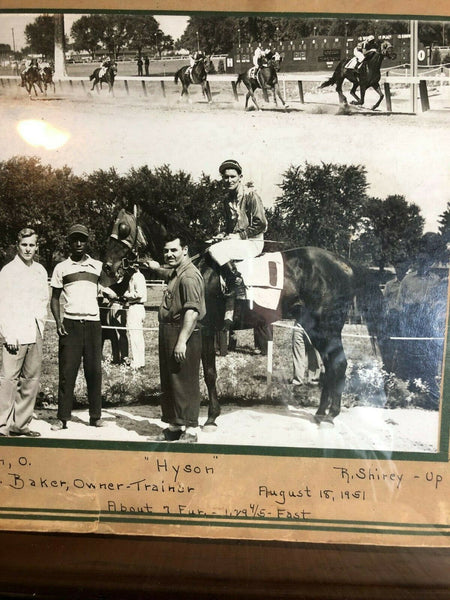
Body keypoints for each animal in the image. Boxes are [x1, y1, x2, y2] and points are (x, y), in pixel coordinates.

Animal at [103, 209, 386, 428]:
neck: (198, 267)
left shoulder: (206, 329)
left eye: (124, 228)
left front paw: (211, 418)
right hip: (315, 327)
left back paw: (329, 415)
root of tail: (347, 264)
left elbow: (209, 373)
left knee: (338, 364)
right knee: (331, 365)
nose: (107, 267)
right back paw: (321, 413)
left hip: (326, 327)